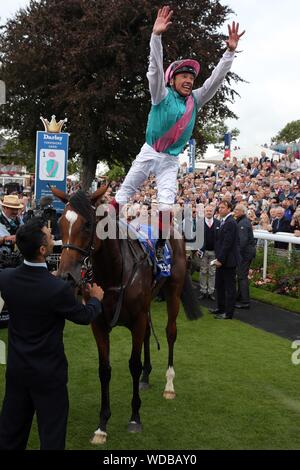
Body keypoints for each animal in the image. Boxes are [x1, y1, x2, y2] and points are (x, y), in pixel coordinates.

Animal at [51, 185, 202, 442]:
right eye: (60, 223)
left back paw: (169, 385)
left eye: (88, 225)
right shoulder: (99, 324)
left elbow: (133, 364)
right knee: (148, 336)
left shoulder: (137, 320)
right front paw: (102, 425)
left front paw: (134, 418)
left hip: (173, 292)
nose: (66, 276)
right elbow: (104, 369)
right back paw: (146, 378)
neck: (115, 272)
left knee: (170, 333)